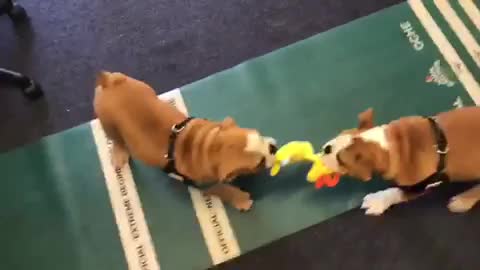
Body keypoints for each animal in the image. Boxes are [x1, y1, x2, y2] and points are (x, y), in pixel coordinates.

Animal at [93, 71, 276, 211]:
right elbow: (224, 189)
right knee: (116, 139)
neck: (210, 145)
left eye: (259, 135)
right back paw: (119, 153)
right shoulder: (207, 185)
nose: (273, 148)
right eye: (259, 163)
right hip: (107, 122)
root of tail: (109, 82)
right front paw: (241, 199)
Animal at [320, 107, 480, 215]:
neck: (391, 145)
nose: (326, 149)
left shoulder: (423, 183)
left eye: (340, 159)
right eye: (341, 134)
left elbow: (398, 191)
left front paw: (378, 200)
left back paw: (462, 200)